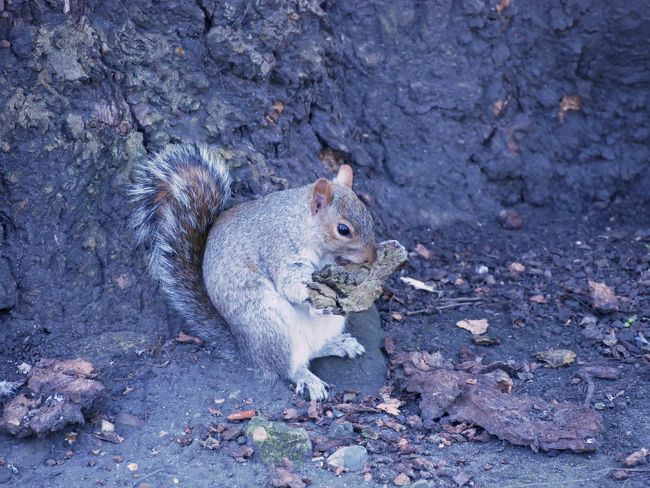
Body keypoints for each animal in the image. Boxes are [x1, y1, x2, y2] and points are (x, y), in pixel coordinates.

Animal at [130, 144, 378, 400]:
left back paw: (338, 344)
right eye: (343, 229)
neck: (300, 223)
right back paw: (308, 379)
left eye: (368, 216)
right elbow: (290, 284)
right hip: (271, 324)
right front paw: (313, 296)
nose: (372, 257)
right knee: (288, 366)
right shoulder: (280, 250)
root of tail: (247, 350)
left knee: (314, 349)